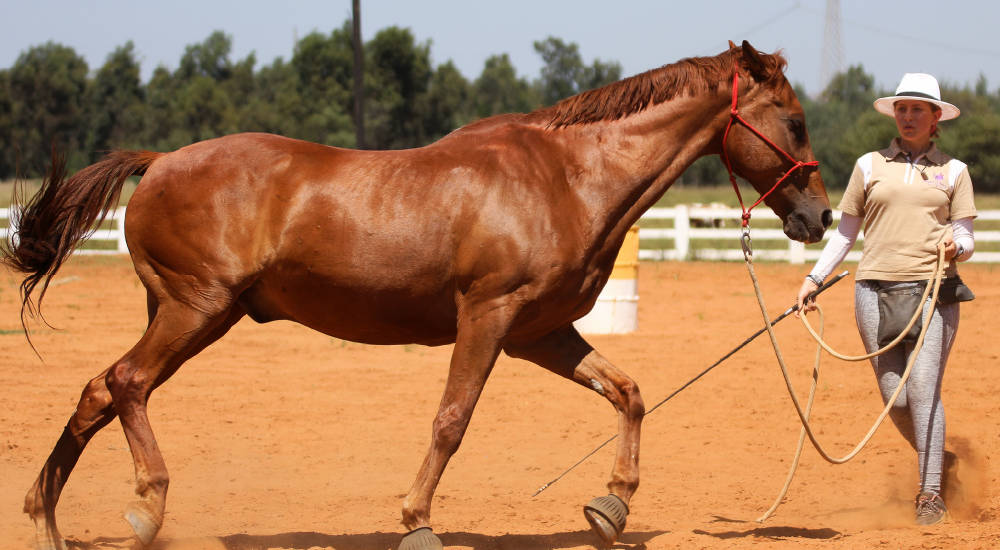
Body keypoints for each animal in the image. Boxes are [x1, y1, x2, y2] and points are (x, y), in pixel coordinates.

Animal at [6, 41, 831, 550]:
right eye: (793, 119)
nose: (821, 217)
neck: (564, 177)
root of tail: (160, 161)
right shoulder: (488, 317)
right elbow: (451, 421)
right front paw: (416, 521)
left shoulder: (539, 333)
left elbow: (627, 392)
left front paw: (611, 505)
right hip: (196, 310)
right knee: (126, 383)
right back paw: (146, 506)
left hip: (191, 314)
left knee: (98, 391)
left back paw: (47, 520)